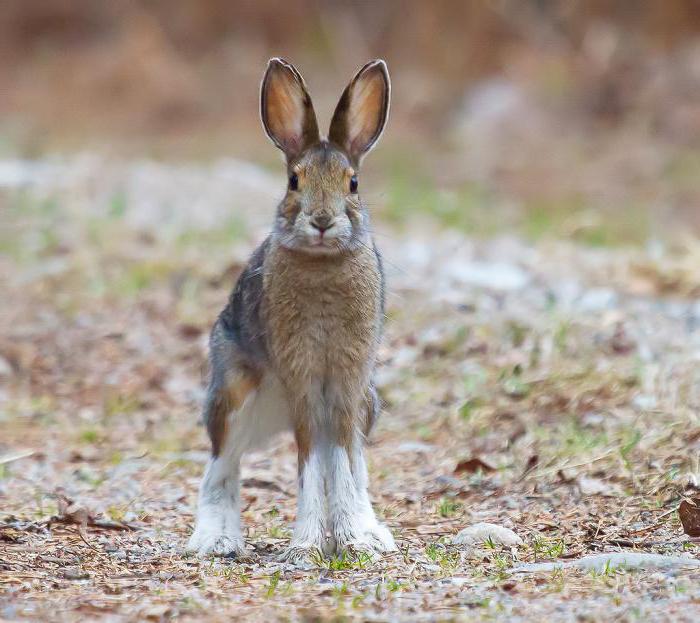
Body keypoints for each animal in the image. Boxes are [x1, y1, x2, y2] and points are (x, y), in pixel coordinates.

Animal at [185, 58, 394, 564]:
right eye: (293, 181)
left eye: (353, 183)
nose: (321, 221)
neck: (322, 264)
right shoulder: (302, 376)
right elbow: (309, 463)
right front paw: (307, 547)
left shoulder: (346, 383)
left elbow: (341, 461)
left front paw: (354, 541)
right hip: (232, 395)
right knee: (221, 468)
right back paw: (215, 540)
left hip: (368, 403)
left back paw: (374, 533)